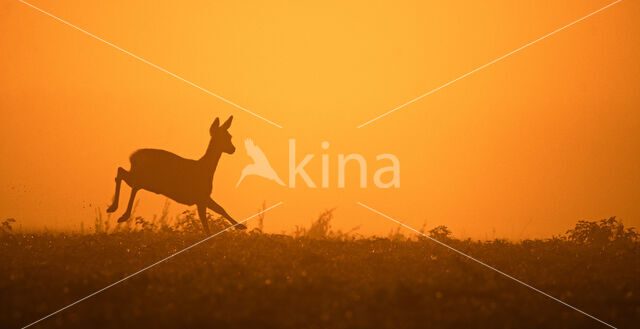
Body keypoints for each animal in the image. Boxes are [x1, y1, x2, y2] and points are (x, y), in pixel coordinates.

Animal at [105, 116, 245, 232]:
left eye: (229, 136)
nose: (233, 149)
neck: (205, 169)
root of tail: (132, 156)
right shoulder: (201, 196)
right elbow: (215, 215)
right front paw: (241, 226)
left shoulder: (201, 199)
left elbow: (216, 213)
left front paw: (240, 226)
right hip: (149, 179)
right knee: (133, 184)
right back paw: (123, 215)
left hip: (142, 177)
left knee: (121, 172)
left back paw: (112, 208)